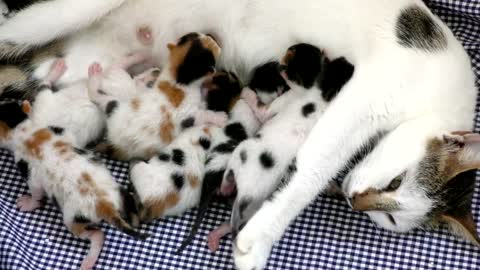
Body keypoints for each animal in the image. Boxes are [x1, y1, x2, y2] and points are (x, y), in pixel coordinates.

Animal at [86, 33, 227, 161]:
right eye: (214, 44)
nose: (212, 35)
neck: (180, 78)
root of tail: (114, 144)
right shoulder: (189, 114)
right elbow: (205, 114)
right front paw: (220, 118)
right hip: (114, 104)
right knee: (95, 95)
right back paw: (94, 75)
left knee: (115, 71)